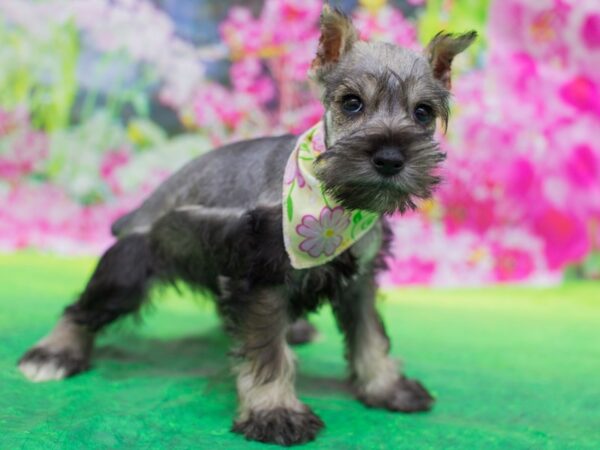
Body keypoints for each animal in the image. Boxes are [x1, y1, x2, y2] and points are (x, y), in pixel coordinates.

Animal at [19, 6, 474, 446]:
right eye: (352, 103)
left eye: (422, 112)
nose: (391, 159)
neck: (337, 205)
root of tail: (139, 212)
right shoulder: (262, 278)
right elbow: (268, 352)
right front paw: (275, 411)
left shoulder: (361, 279)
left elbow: (371, 335)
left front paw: (386, 387)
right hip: (127, 270)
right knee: (82, 308)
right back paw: (53, 354)